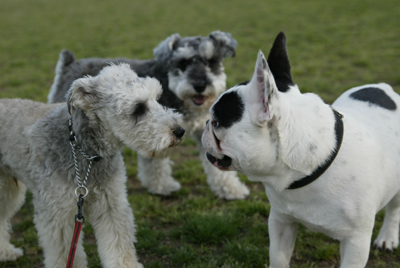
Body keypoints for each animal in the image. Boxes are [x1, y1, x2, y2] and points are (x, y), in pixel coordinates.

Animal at [0, 63, 184, 266]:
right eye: (138, 108)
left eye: (157, 98)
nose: (180, 131)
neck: (87, 156)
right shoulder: (58, 214)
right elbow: (65, 254)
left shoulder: (111, 205)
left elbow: (119, 246)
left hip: (8, 189)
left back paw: (5, 252)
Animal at [203, 31, 400, 268]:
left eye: (216, 122)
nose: (205, 123)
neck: (309, 167)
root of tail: (384, 87)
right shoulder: (281, 221)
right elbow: (278, 258)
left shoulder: (356, 242)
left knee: (394, 209)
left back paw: (388, 237)